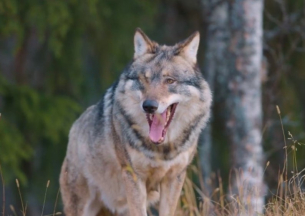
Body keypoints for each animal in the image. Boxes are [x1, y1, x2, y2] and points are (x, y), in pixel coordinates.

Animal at [59, 28, 211, 216]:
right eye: (143, 80)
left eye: (170, 81)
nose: (149, 106)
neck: (161, 150)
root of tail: (74, 128)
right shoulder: (134, 177)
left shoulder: (174, 178)